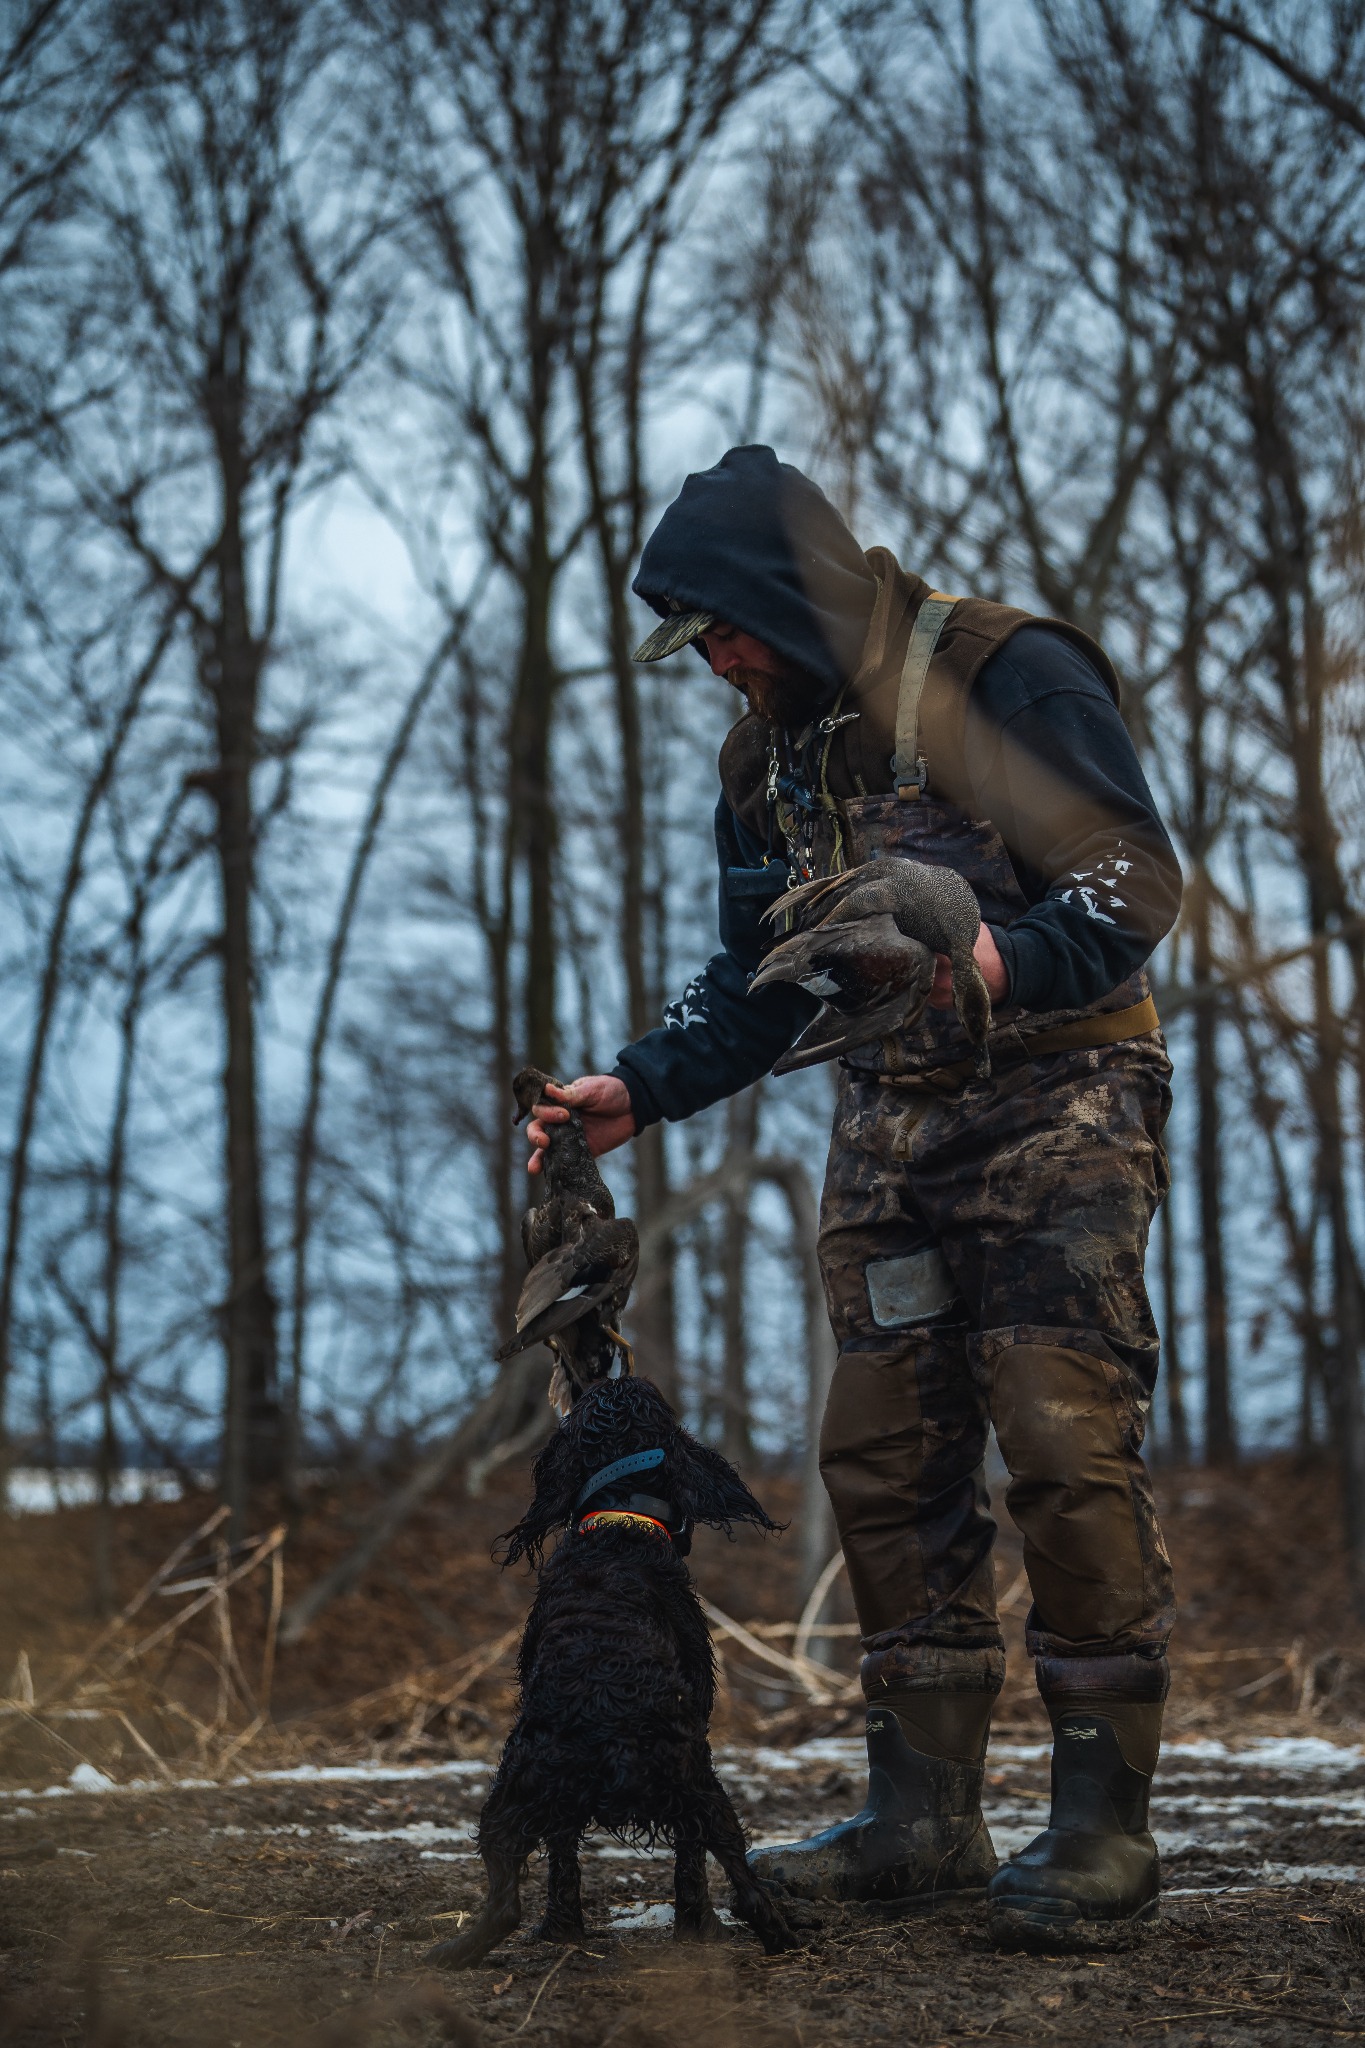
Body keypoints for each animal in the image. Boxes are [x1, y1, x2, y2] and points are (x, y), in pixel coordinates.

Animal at [427, 1376, 802, 1966]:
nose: (611, 1374)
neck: (620, 1523)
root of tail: (615, 1732)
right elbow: (688, 1864)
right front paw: (695, 1931)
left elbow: (566, 1859)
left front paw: (565, 1931)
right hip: (700, 1785)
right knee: (740, 1881)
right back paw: (782, 1939)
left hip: (514, 1795)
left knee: (505, 1903)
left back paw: (451, 1952)